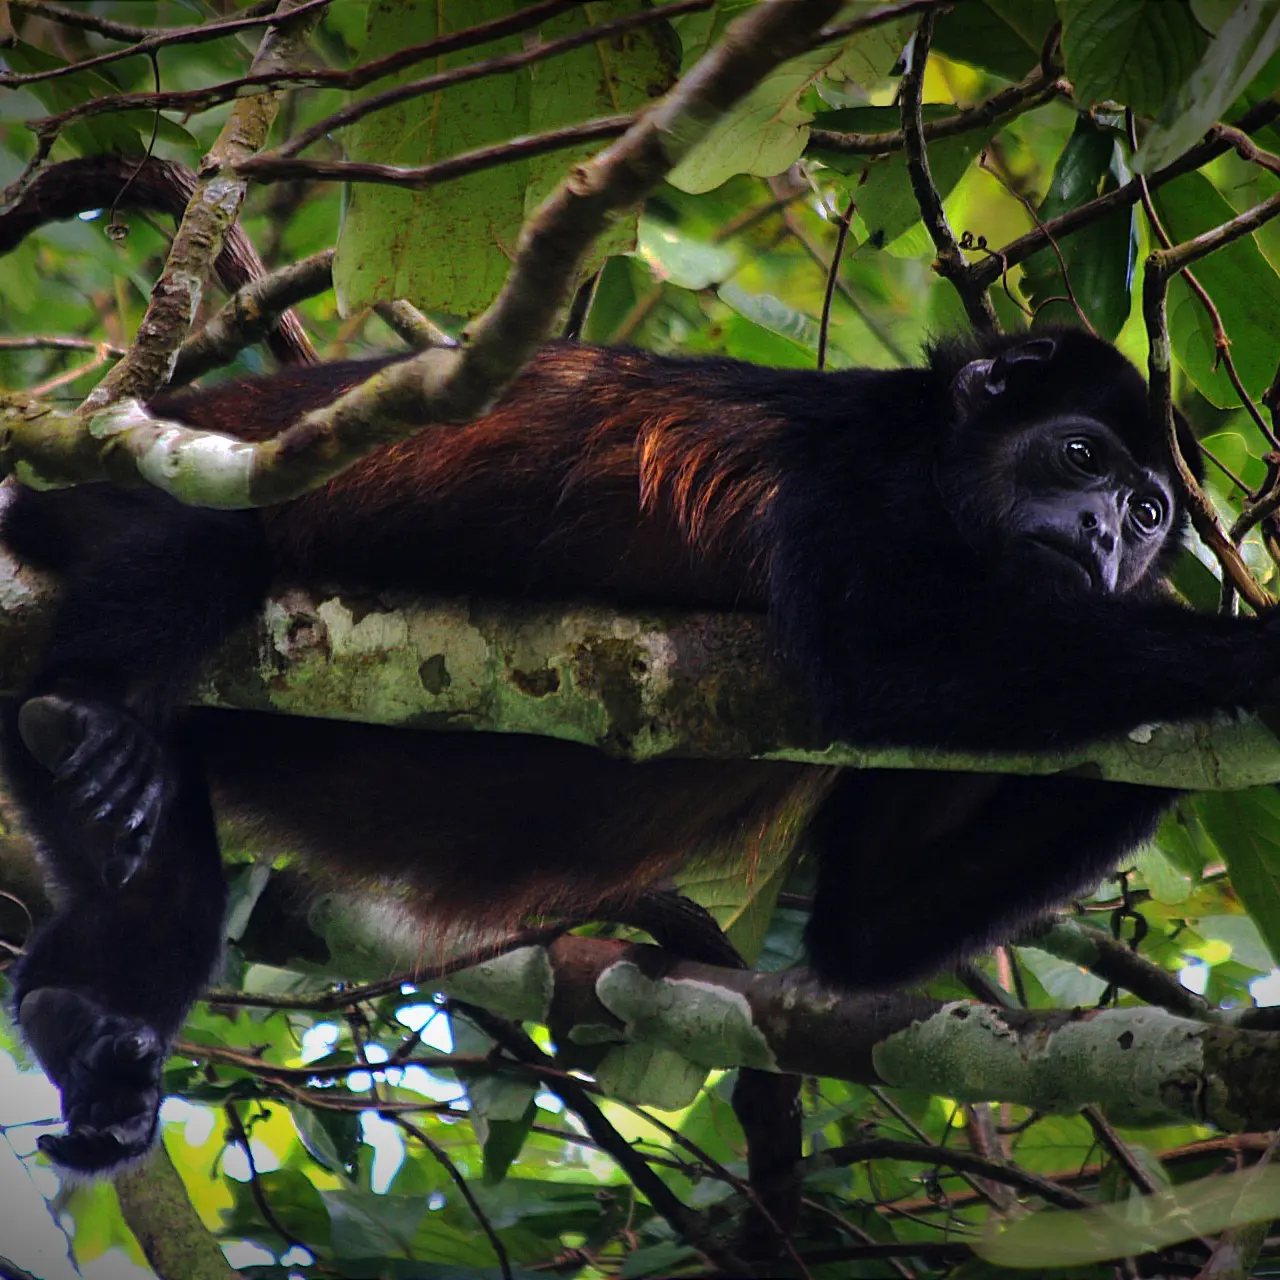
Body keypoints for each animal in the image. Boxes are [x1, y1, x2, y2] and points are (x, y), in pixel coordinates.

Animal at [2, 326, 1275, 1173]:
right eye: (1079, 458)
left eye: (1151, 512)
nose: (1107, 537)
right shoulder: (859, 469)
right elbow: (881, 654)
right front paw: (1249, 648)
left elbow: (864, 931)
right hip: (87, 509)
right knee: (209, 541)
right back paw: (87, 716)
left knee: (165, 881)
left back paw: (86, 1031)